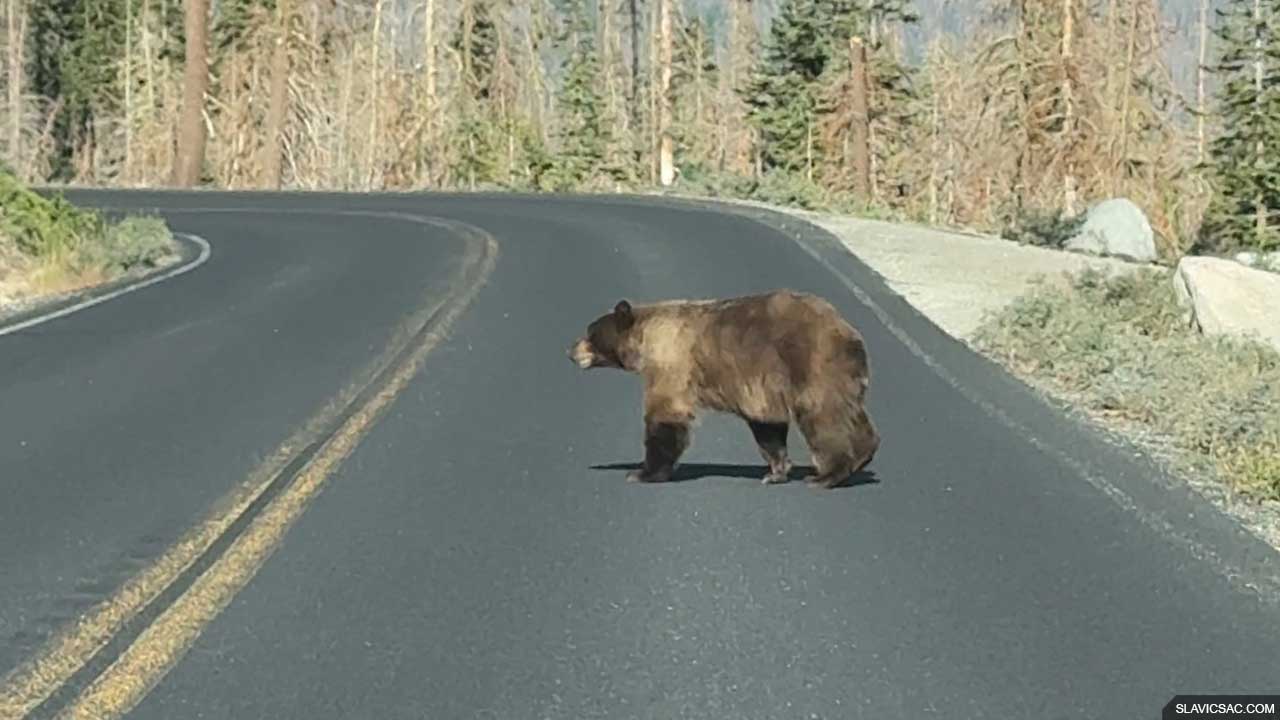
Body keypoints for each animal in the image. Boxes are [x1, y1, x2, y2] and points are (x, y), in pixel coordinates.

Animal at [567, 289, 879, 489]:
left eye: (590, 333)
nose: (570, 350)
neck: (645, 339)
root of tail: (849, 333)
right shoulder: (760, 391)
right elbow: (767, 426)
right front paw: (776, 471)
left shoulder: (673, 362)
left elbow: (666, 415)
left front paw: (643, 472)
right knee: (852, 415)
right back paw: (863, 455)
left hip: (813, 366)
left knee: (824, 416)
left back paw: (826, 475)